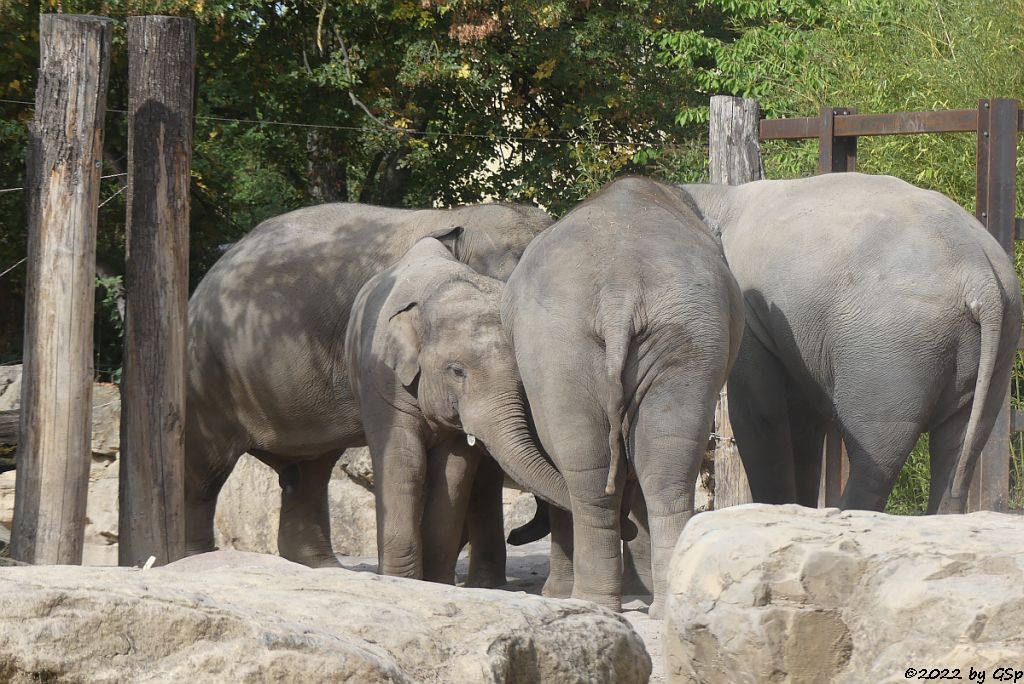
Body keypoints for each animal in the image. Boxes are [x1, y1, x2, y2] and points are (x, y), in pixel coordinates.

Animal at [187, 200, 565, 573]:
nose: (517, 534)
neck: (461, 217)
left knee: (309, 472)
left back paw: (323, 568)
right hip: (207, 377)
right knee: (205, 472)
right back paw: (197, 559)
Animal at [503, 176, 745, 614]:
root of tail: (620, 288)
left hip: (579, 342)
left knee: (605, 471)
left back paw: (601, 602)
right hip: (655, 337)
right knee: (647, 469)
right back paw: (626, 602)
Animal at [679, 174, 1024, 516]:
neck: (719, 195)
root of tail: (981, 277)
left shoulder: (748, 311)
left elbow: (759, 413)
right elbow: (802, 420)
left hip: (889, 353)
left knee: (877, 449)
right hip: (996, 349)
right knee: (963, 443)